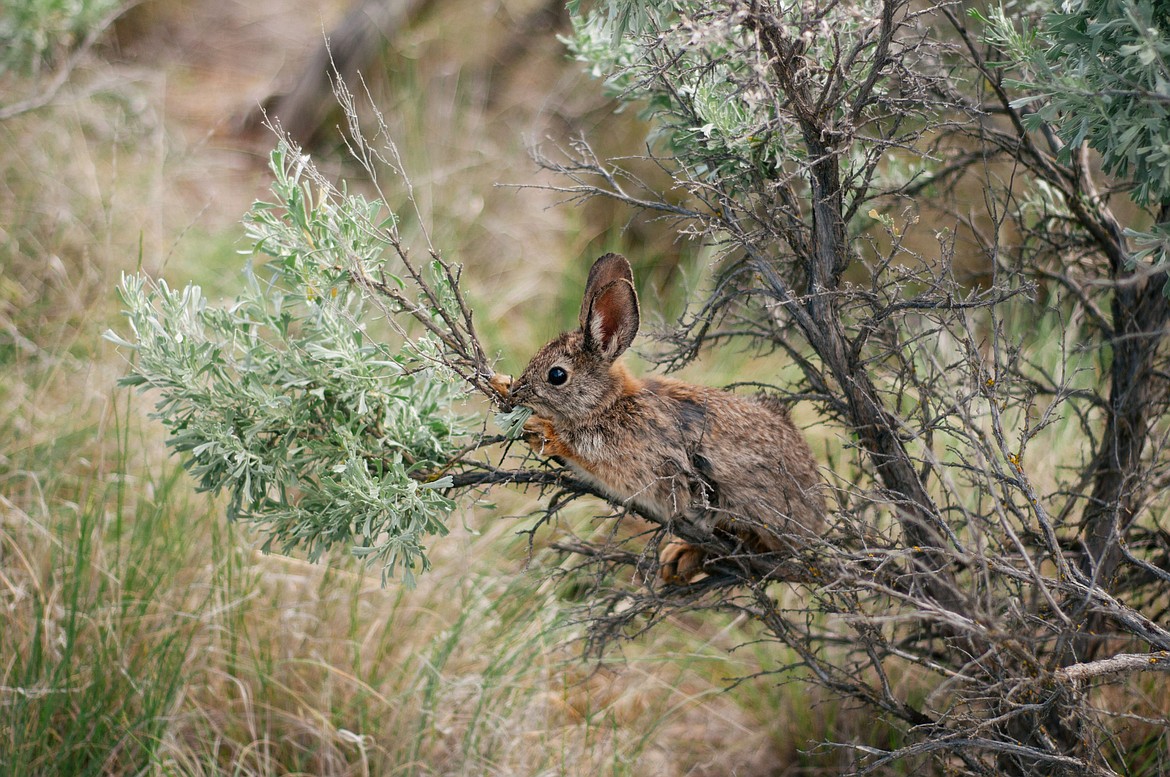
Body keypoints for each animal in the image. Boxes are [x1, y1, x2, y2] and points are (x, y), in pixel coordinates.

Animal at [489, 251, 828, 580]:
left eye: (557, 375)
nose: (518, 393)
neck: (609, 404)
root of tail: (817, 518)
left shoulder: (633, 464)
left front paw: (542, 430)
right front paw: (500, 383)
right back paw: (679, 557)